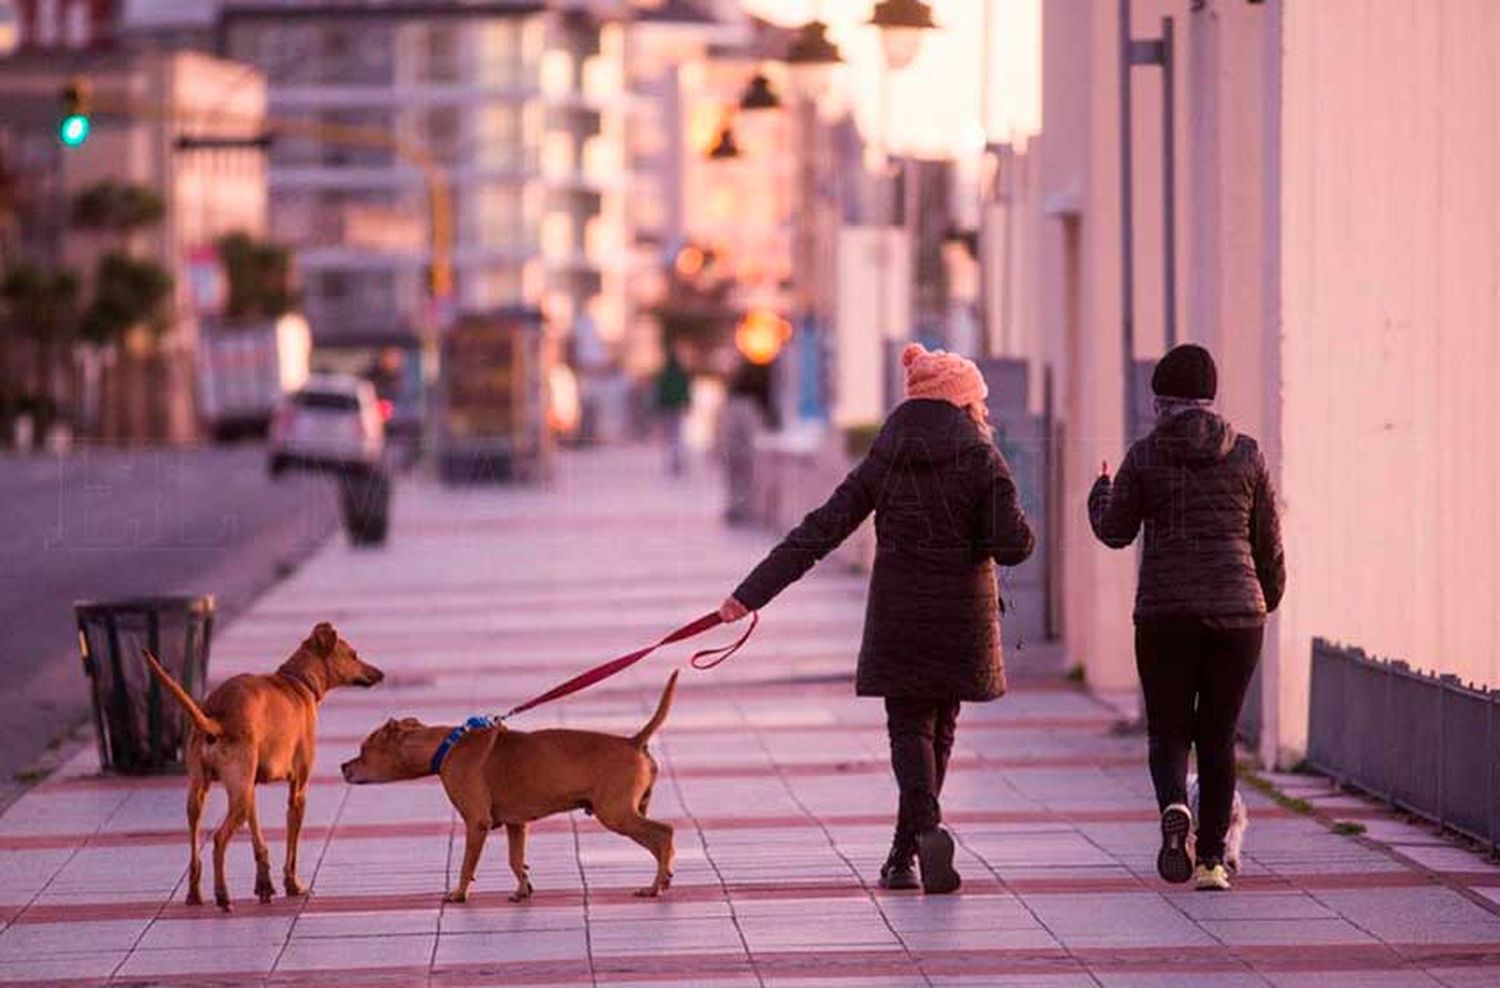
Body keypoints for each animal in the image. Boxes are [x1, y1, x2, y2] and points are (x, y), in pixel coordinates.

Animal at [144, 623, 384, 917]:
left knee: (194, 849)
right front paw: (293, 885)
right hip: (236, 799)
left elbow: (259, 840)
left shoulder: (251, 789)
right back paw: (222, 895)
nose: (380, 673)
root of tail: (217, 719)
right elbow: (292, 849)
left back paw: (194, 894)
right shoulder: (297, 792)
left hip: (204, 794)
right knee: (218, 840)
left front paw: (264, 886)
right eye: (353, 655)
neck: (298, 682)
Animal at [340, 671, 681, 905]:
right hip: (628, 812)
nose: (343, 766)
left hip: (615, 814)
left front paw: (458, 893)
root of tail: (634, 741)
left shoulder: (477, 822)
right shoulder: (517, 824)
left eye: (363, 749)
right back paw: (663, 879)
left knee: (665, 832)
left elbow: (467, 864)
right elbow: (516, 860)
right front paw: (522, 890)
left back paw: (655, 886)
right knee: (658, 842)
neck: (446, 747)